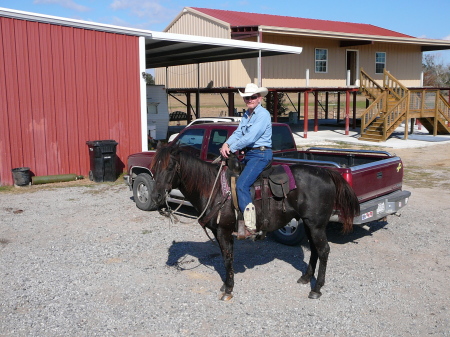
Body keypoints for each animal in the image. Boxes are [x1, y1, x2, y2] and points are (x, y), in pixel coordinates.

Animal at [149, 144, 360, 300]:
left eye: (170, 167)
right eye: (154, 168)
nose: (156, 196)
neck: (214, 188)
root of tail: (327, 174)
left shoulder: (224, 232)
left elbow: (227, 259)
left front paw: (228, 289)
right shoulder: (219, 233)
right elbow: (225, 257)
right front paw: (226, 285)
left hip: (316, 225)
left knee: (323, 251)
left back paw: (316, 289)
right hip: (309, 224)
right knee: (315, 250)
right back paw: (306, 277)